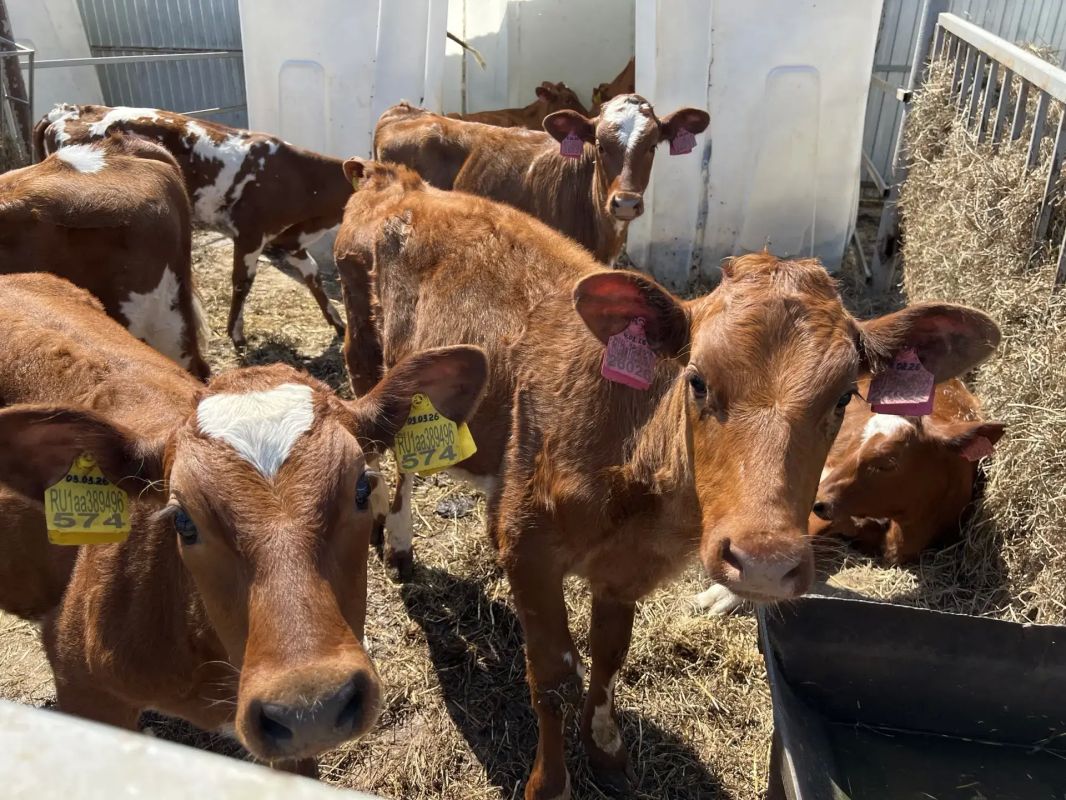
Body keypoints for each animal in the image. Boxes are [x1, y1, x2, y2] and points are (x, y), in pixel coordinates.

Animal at [34, 103, 351, 348]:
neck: (300, 180)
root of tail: (67, 110)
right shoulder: (249, 234)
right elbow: (242, 283)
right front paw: (236, 335)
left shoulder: (288, 241)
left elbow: (313, 276)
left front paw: (338, 323)